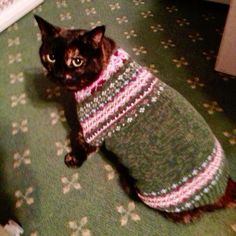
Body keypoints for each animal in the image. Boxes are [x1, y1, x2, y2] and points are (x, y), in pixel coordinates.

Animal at [34, 15, 236, 223]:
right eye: (51, 57)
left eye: (77, 61)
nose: (58, 75)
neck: (106, 67)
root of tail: (226, 188)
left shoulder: (91, 131)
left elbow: (81, 144)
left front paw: (73, 159)